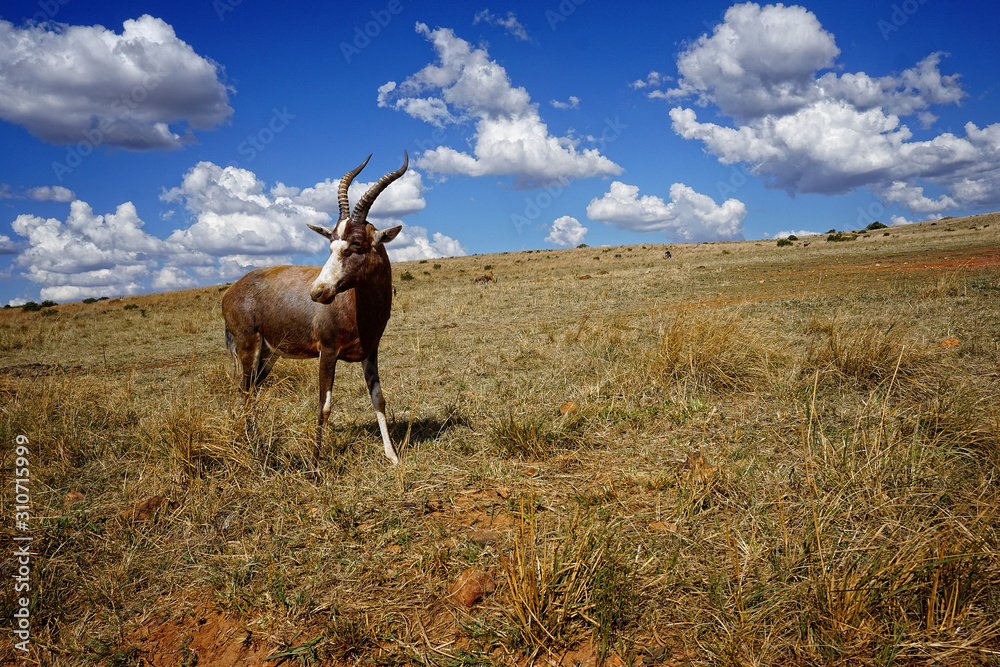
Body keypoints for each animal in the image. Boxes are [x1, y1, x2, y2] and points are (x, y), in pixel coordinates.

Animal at [222, 153, 406, 475]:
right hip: (247, 348)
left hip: (269, 354)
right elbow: (324, 405)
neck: (354, 306)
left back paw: (258, 446)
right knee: (244, 390)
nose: (318, 292)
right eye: (330, 245)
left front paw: (392, 457)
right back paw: (255, 450)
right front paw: (313, 469)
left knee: (253, 390)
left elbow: (379, 399)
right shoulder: (327, 353)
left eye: (355, 244)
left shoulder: (370, 353)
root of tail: (231, 291)